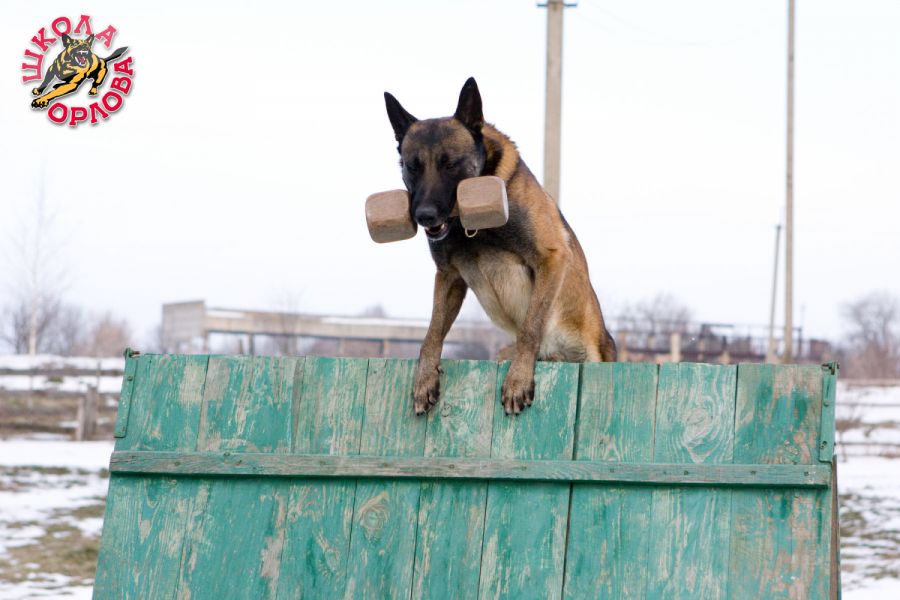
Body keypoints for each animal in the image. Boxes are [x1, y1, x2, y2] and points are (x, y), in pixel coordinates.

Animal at [384, 77, 617, 415]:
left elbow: (530, 327)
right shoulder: (448, 277)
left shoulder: (551, 258)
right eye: (412, 167)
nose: (424, 216)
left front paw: (518, 380)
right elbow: (432, 333)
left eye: (449, 164)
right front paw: (425, 378)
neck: (472, 227)